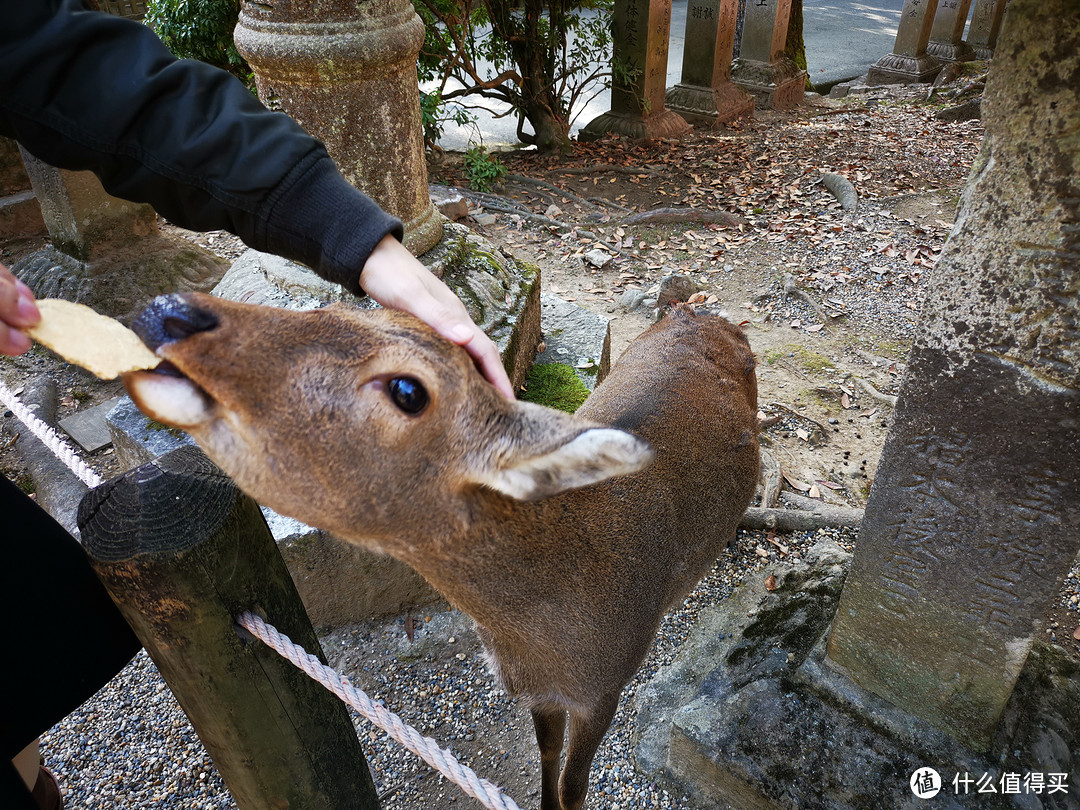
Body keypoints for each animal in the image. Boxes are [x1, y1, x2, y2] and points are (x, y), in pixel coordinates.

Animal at [122, 295, 756, 810]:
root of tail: (708, 312)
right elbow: (546, 756)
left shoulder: (606, 686)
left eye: (408, 390)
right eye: (336, 307)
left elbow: (576, 785)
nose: (171, 310)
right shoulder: (537, 690)